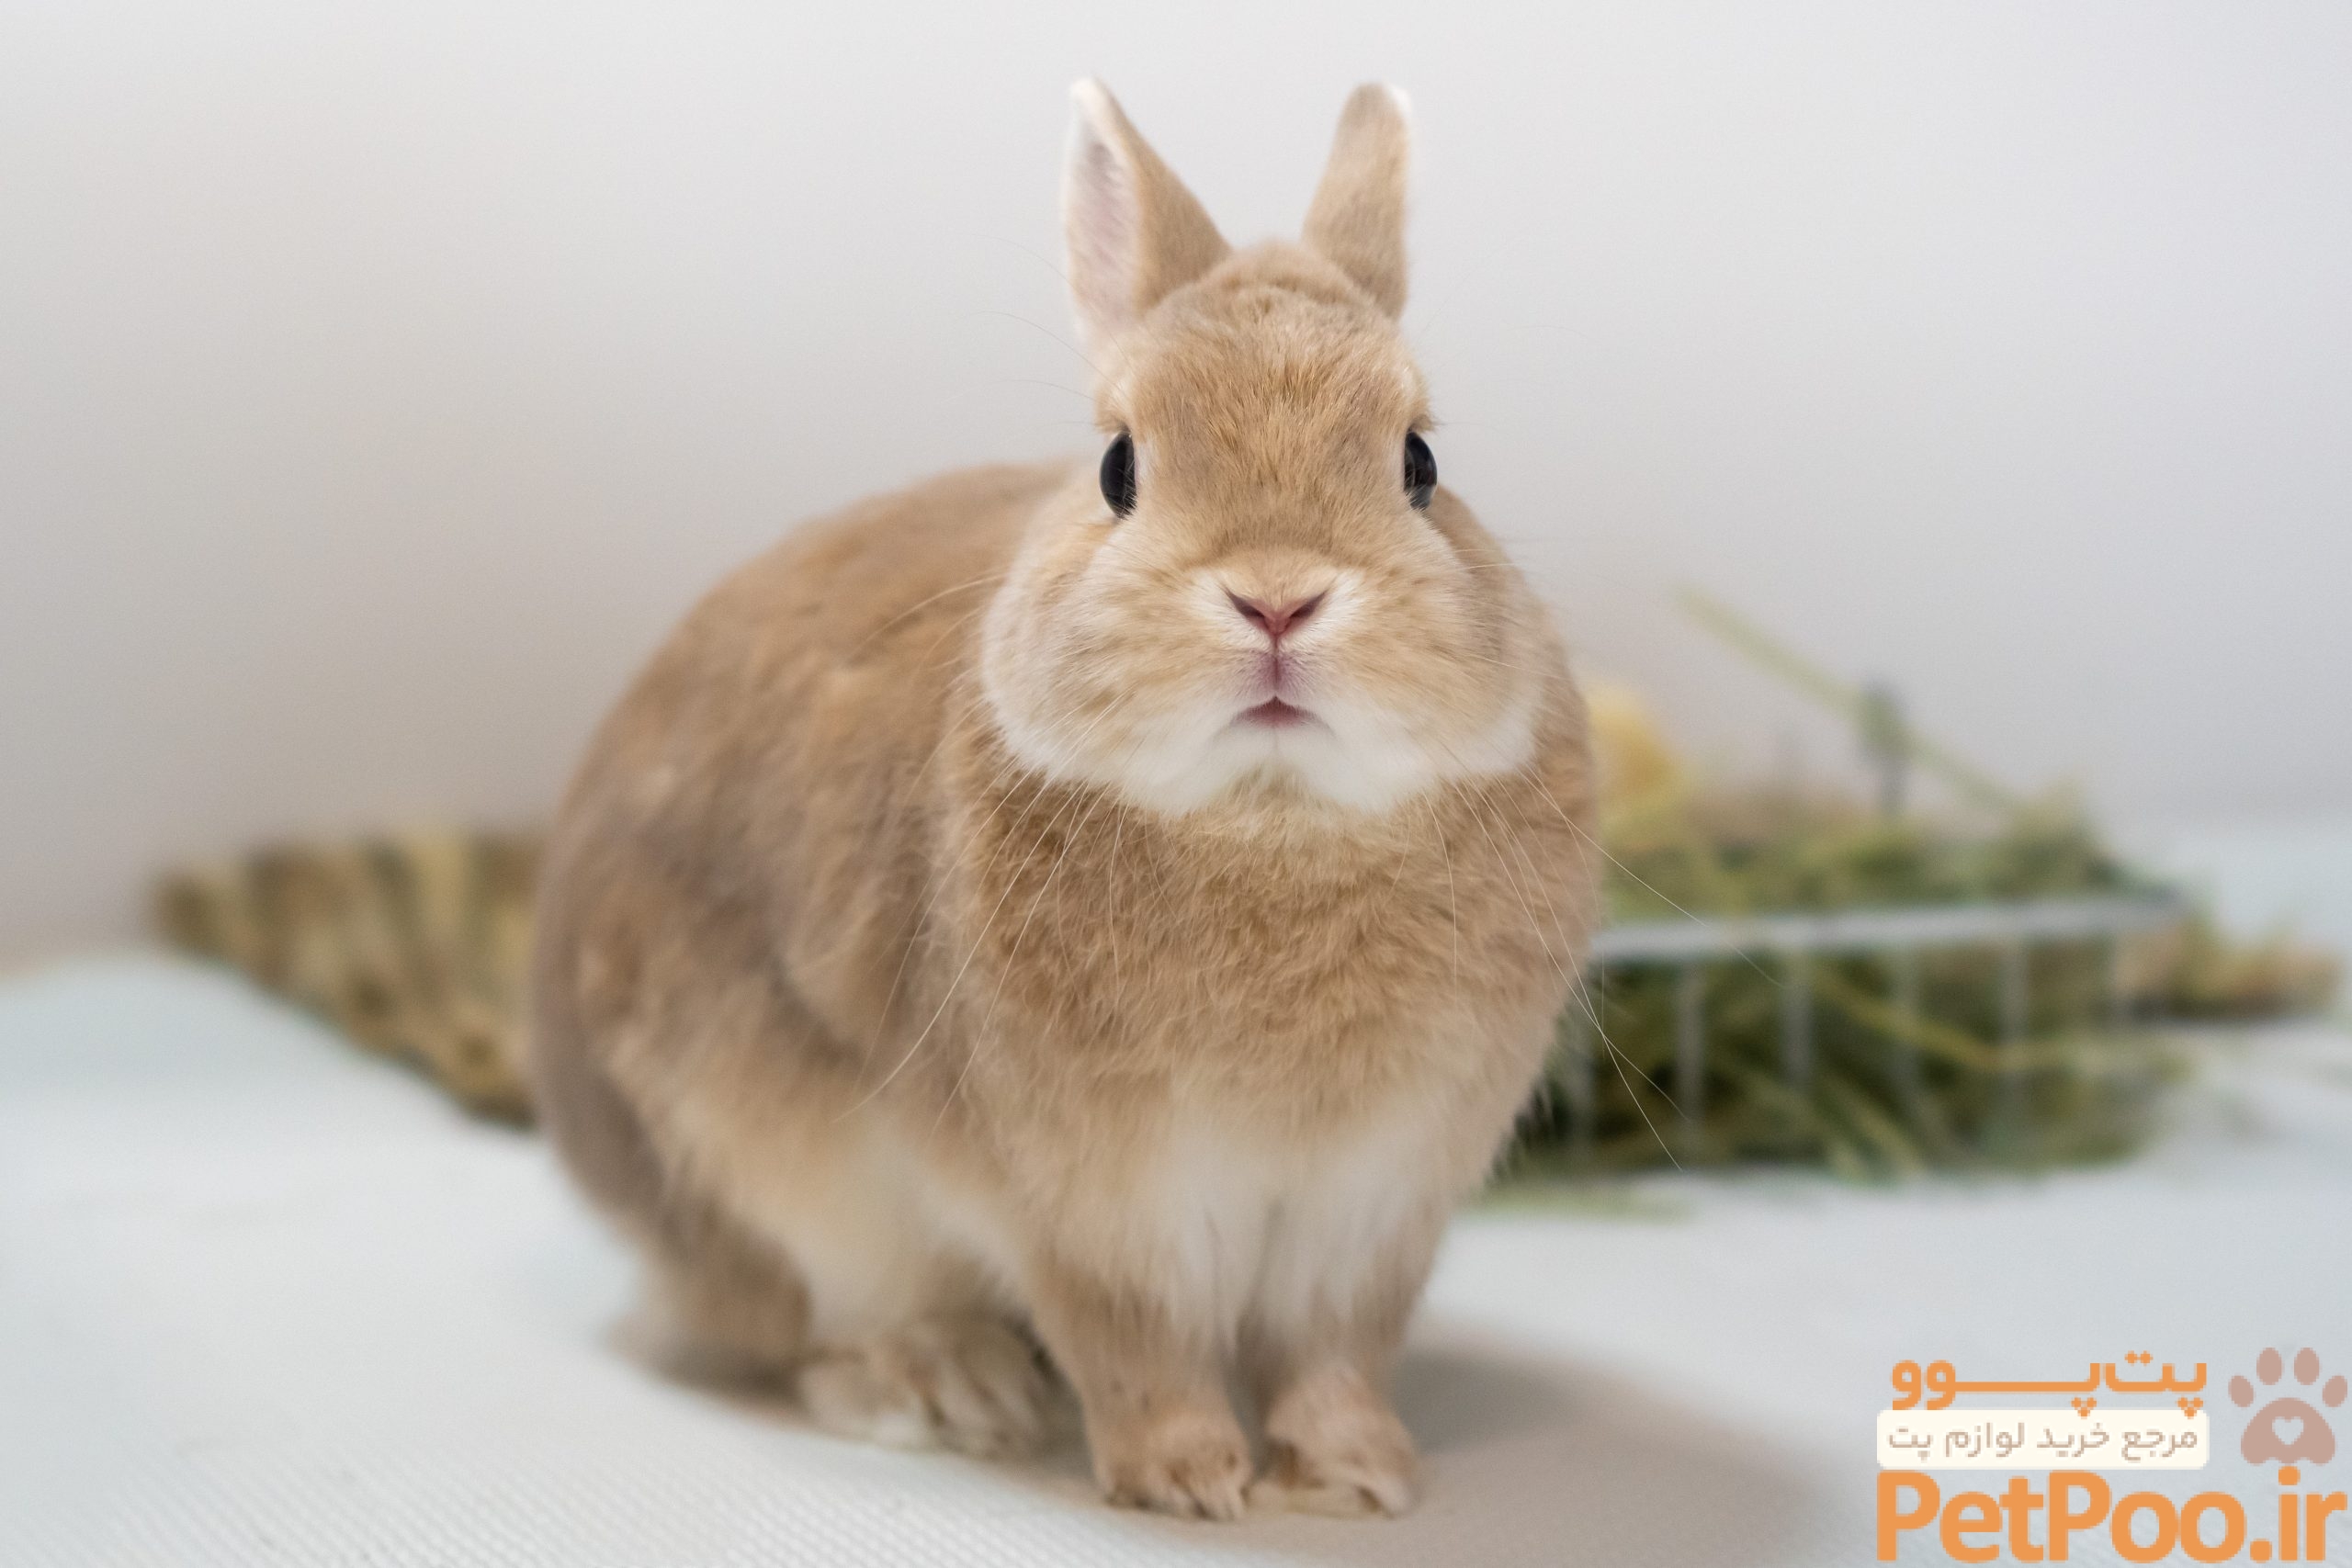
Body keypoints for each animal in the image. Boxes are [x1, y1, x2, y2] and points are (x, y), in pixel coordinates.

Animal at [528, 79, 1596, 1521]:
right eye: (1117, 470)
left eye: (1420, 463)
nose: (1276, 597)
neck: (1275, 823)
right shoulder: (1095, 1209)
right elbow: (1134, 1344)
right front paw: (1190, 1479)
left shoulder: (1372, 1209)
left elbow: (1334, 1350)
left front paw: (1358, 1475)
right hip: (759, 1157)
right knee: (815, 1330)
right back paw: (949, 1385)